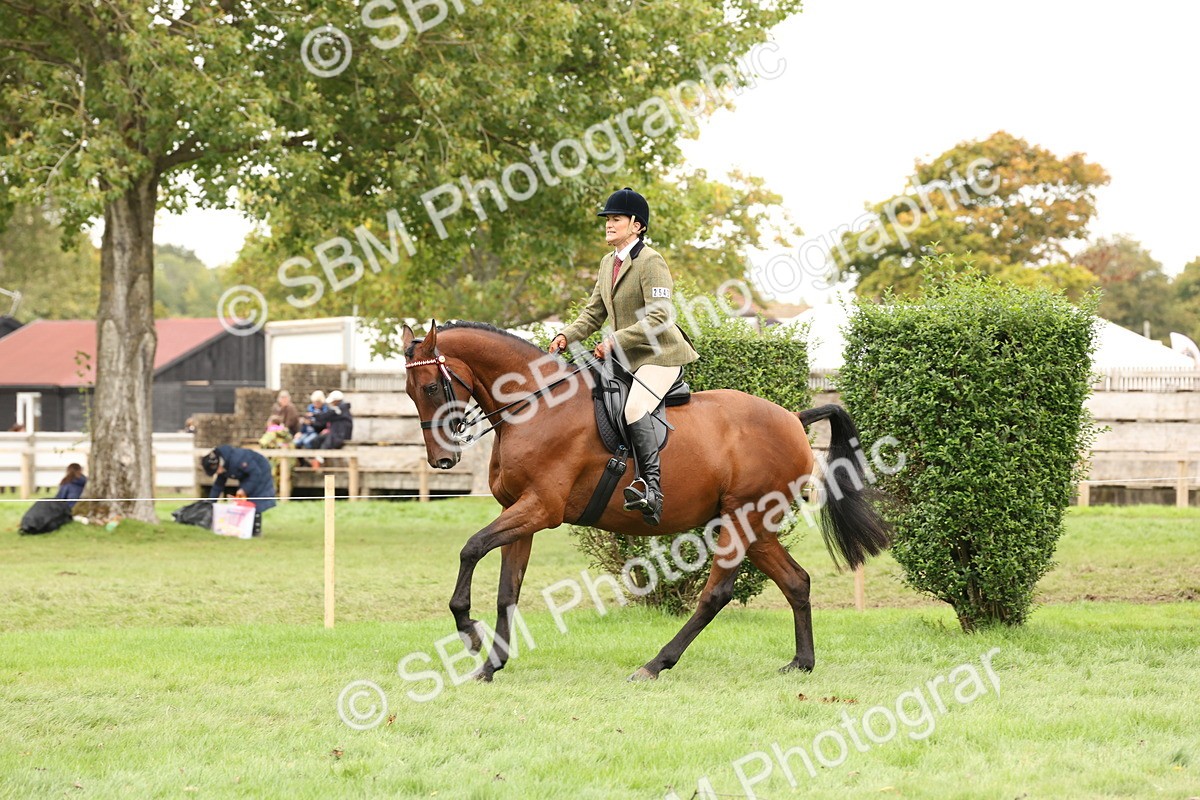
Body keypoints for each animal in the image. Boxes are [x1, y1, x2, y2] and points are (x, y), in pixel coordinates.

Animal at [400, 320, 891, 682]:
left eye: (430, 388)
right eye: (409, 391)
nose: (443, 460)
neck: (534, 408)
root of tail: (793, 417)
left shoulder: (540, 509)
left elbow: (471, 548)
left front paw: (468, 632)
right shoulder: (517, 512)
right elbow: (508, 590)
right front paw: (491, 664)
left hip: (741, 519)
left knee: (716, 594)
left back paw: (656, 664)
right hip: (753, 526)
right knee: (796, 582)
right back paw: (801, 663)